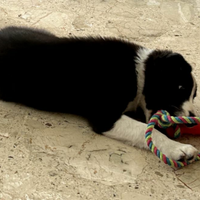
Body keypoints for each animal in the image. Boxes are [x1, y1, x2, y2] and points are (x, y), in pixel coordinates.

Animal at [0, 25, 198, 162]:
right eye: (180, 88)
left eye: (193, 96)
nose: (192, 119)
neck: (138, 73)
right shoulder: (105, 117)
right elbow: (145, 130)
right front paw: (179, 149)